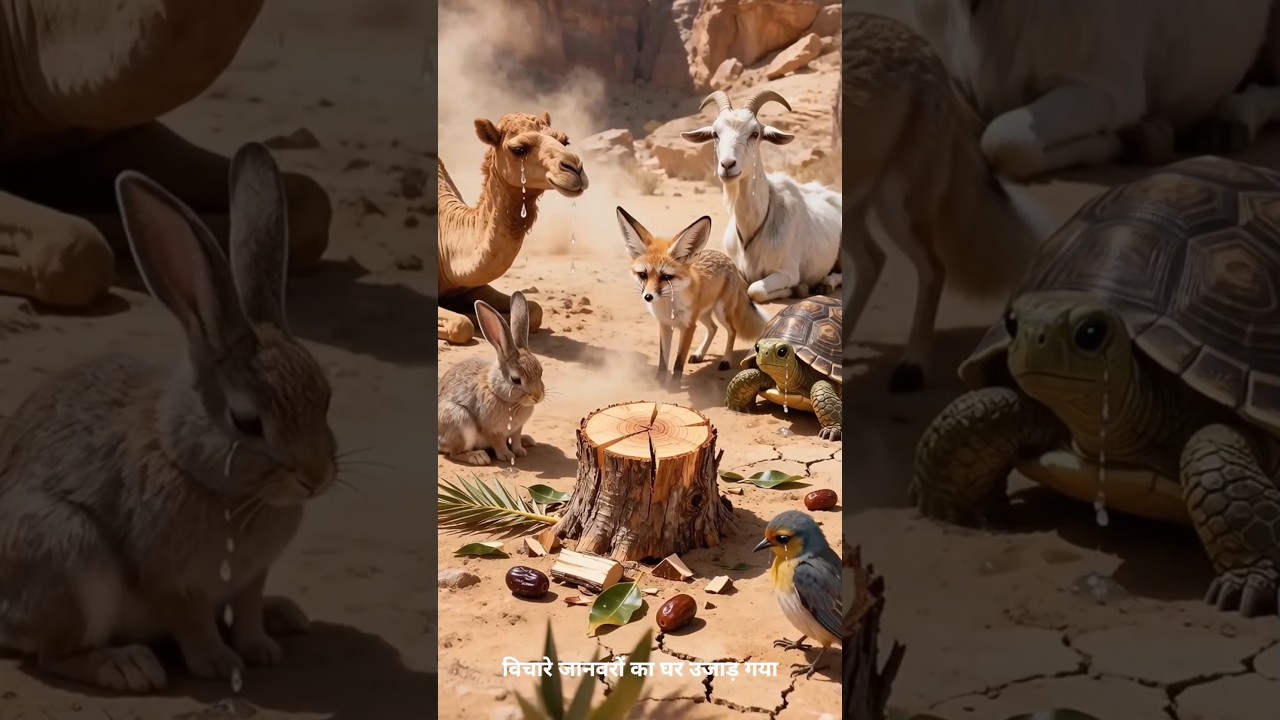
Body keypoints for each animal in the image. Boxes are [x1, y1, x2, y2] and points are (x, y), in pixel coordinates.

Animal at [437, 112, 588, 345]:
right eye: (519, 149)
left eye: (565, 141)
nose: (575, 168)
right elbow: (461, 325)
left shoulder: (471, 286)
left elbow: (535, 310)